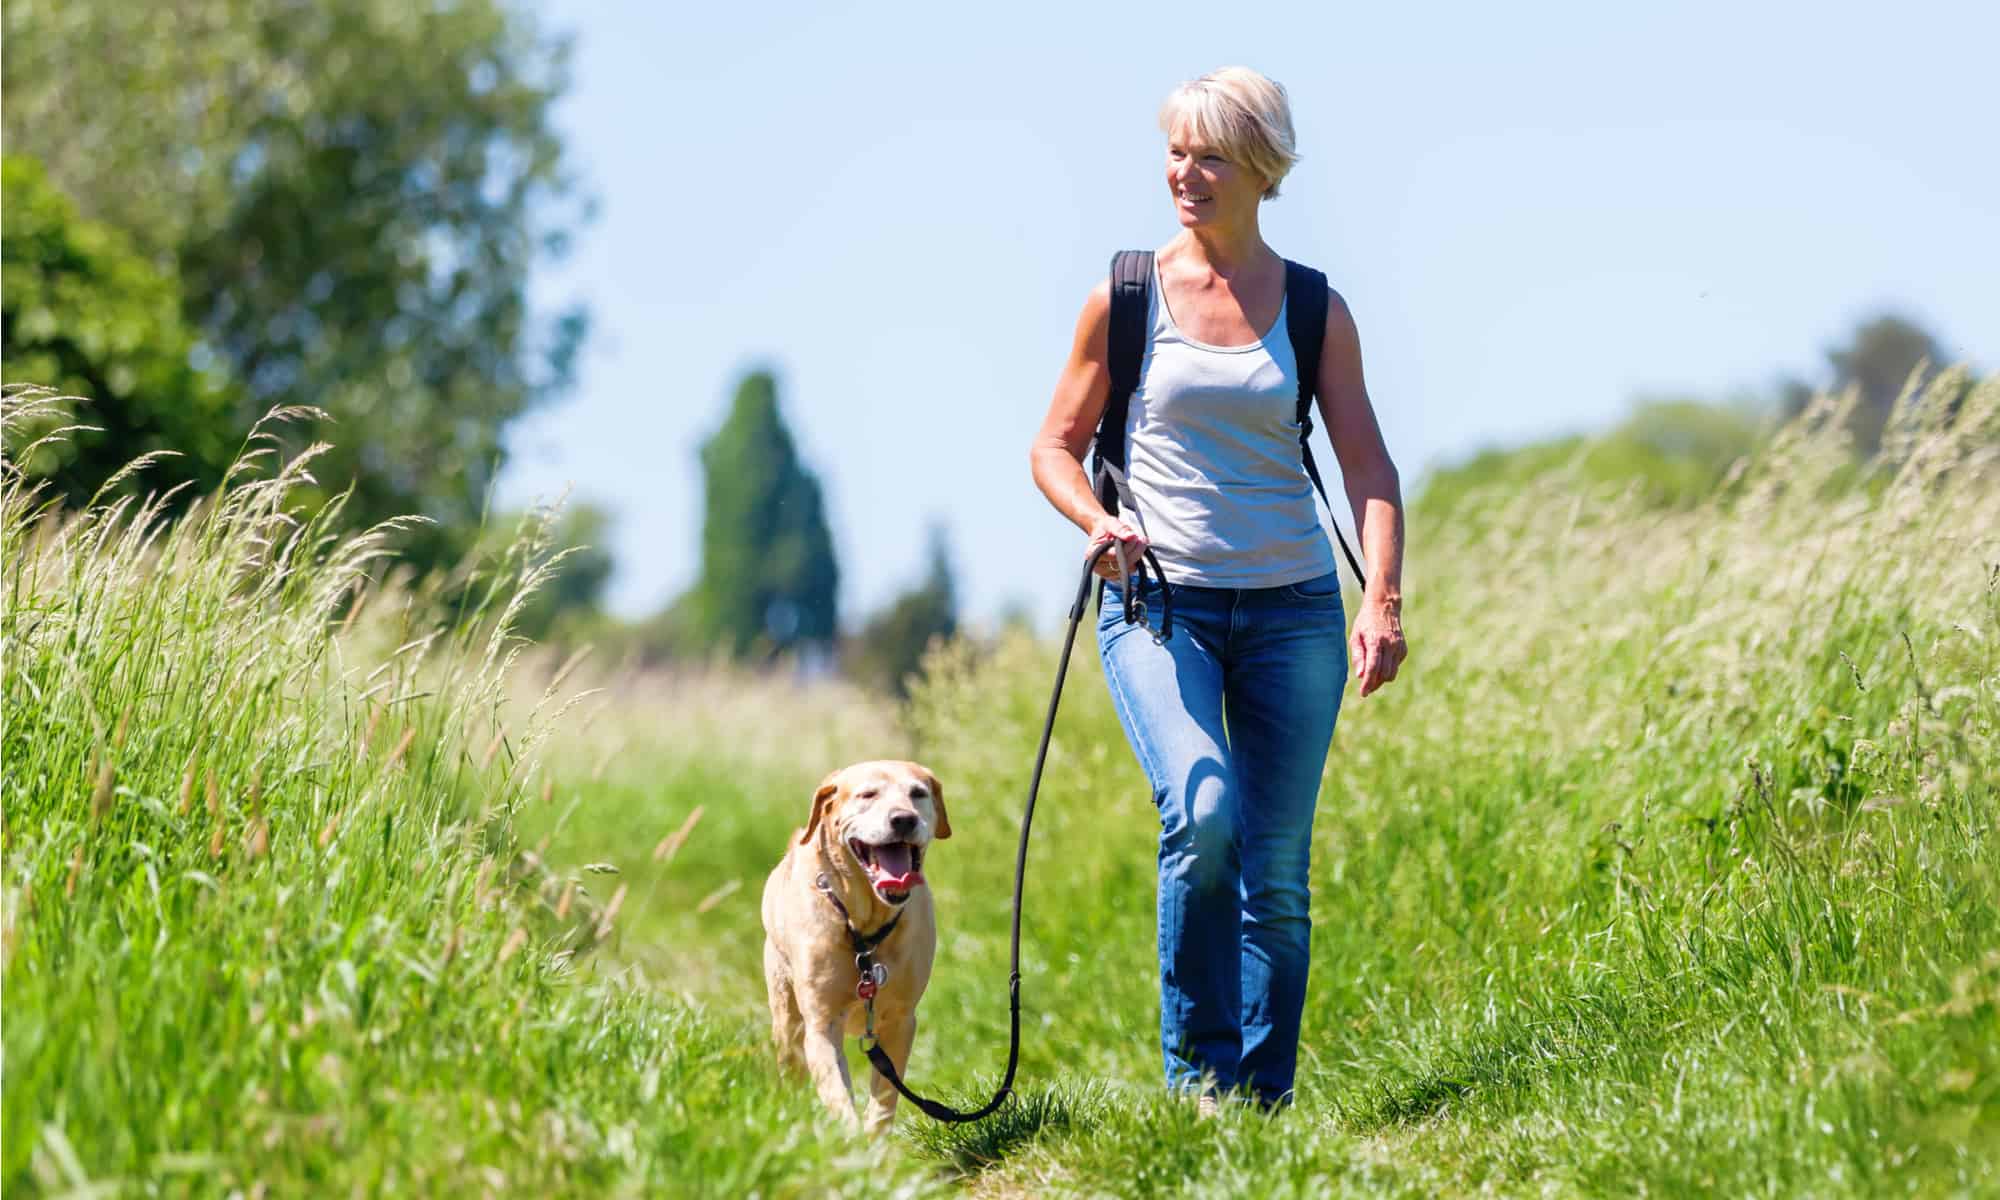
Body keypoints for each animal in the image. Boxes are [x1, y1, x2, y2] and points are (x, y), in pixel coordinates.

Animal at [764, 764, 952, 1128]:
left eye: (918, 794)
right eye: (868, 795)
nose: (903, 819)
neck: (864, 929)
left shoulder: (900, 1022)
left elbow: (885, 1100)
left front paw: (873, 1136)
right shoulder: (821, 1026)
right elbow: (839, 1097)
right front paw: (849, 1137)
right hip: (785, 1013)